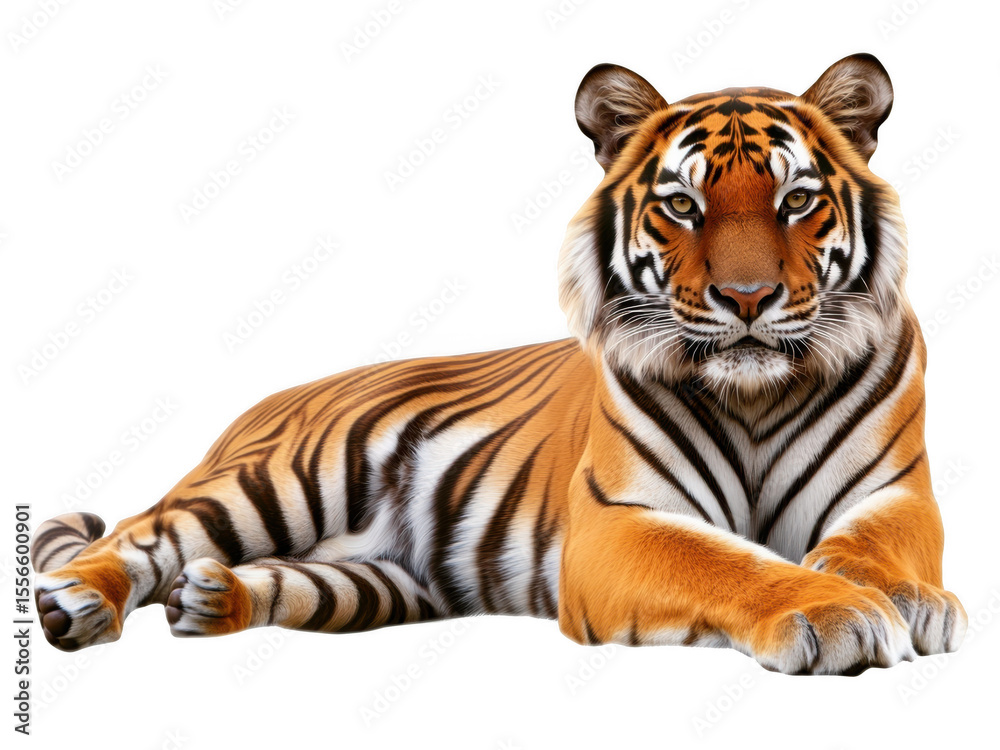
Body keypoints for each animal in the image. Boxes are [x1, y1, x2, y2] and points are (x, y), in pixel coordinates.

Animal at [32, 53, 966, 675]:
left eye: (797, 199)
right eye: (681, 205)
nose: (746, 298)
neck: (757, 397)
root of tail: (270, 400)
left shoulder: (893, 494)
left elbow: (878, 551)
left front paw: (910, 599)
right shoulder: (621, 521)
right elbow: (732, 562)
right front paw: (836, 610)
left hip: (376, 578)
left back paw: (212, 599)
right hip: (271, 482)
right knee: (136, 533)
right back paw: (77, 602)